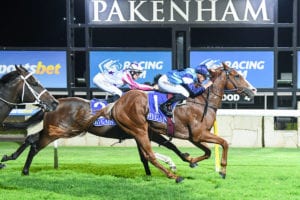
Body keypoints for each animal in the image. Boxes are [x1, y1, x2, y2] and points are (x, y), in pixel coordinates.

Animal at [102, 63, 255, 183]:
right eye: (237, 76)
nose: (253, 90)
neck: (202, 100)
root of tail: (116, 104)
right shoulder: (199, 134)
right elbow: (224, 143)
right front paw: (222, 171)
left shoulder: (194, 137)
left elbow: (208, 152)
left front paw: (191, 161)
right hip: (139, 130)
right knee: (150, 155)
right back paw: (175, 177)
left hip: (144, 131)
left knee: (149, 154)